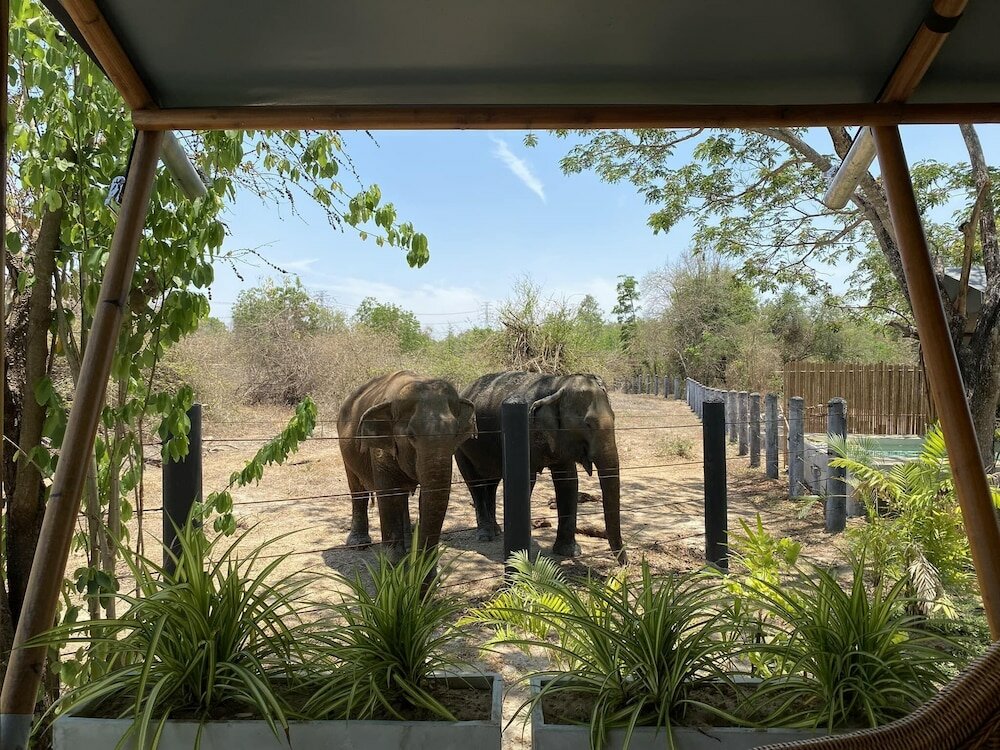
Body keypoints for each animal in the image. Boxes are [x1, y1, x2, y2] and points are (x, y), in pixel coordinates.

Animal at [338, 370, 477, 562]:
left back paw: (409, 542)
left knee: (402, 496)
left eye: (456, 434)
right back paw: (359, 544)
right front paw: (393, 564)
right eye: (411, 436)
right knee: (357, 489)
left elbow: (425, 497)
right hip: (345, 450)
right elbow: (389, 494)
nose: (424, 567)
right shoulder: (381, 449)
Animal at [455, 372, 625, 563]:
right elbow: (527, 479)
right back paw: (485, 535)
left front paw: (569, 552)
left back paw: (497, 530)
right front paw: (520, 557)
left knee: (492, 483)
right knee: (474, 482)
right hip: (461, 444)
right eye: (587, 424)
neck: (557, 383)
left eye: (614, 417)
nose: (624, 564)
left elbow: (568, 480)